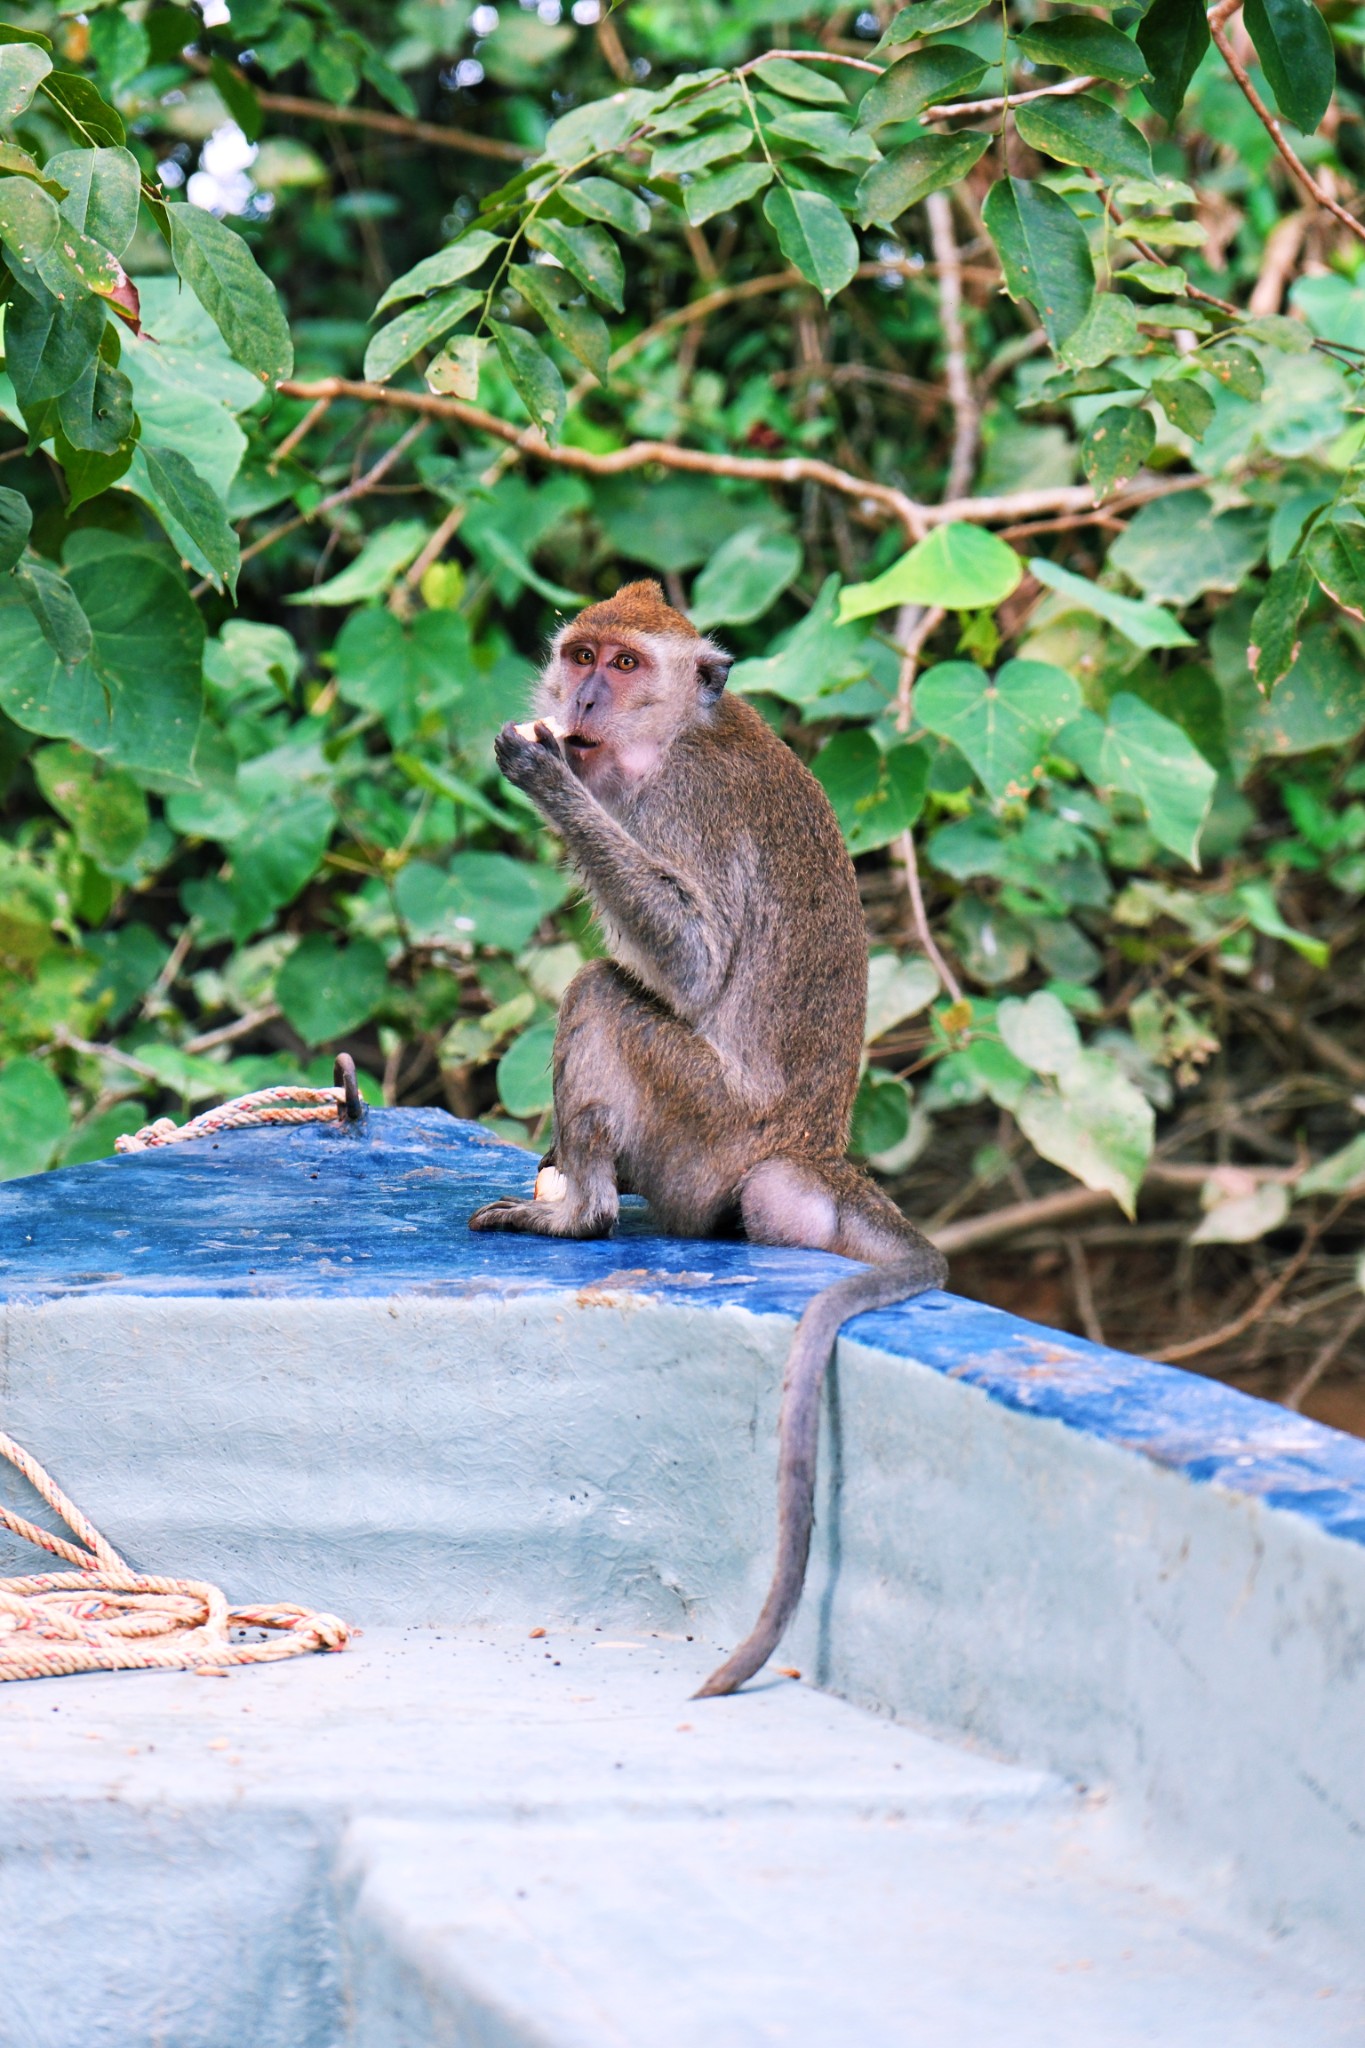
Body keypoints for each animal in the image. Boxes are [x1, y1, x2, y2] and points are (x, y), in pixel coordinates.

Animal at [464, 577, 945, 1695]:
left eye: (625, 664)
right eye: (582, 652)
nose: (581, 697)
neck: (675, 738)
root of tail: (804, 1149)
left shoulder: (685, 807)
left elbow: (689, 959)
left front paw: (542, 772)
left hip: (701, 1129)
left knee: (603, 990)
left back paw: (582, 1212)